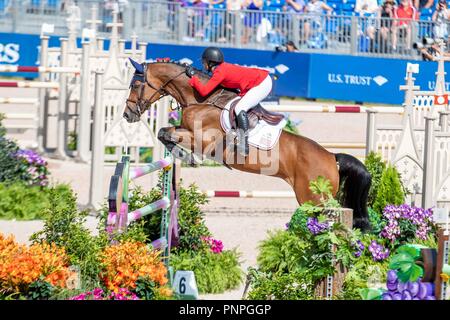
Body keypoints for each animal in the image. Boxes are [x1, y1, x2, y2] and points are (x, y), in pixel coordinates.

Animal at [121, 59, 370, 230]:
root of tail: (331, 157)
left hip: (315, 201)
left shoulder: (203, 140)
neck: (202, 99)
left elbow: (167, 133)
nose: (127, 115)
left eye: (135, 85)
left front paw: (188, 157)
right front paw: (184, 156)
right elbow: (164, 132)